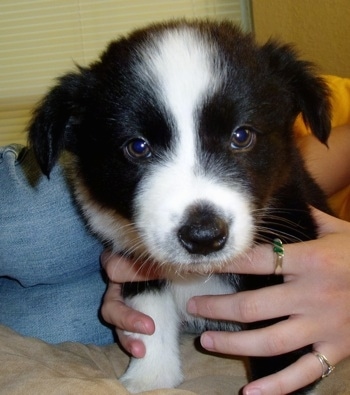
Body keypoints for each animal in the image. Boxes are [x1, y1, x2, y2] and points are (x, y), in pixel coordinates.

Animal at [29, 20, 330, 392]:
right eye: (138, 146)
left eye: (241, 135)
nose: (203, 236)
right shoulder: (133, 253)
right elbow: (149, 310)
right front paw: (150, 376)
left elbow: (274, 330)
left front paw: (274, 386)